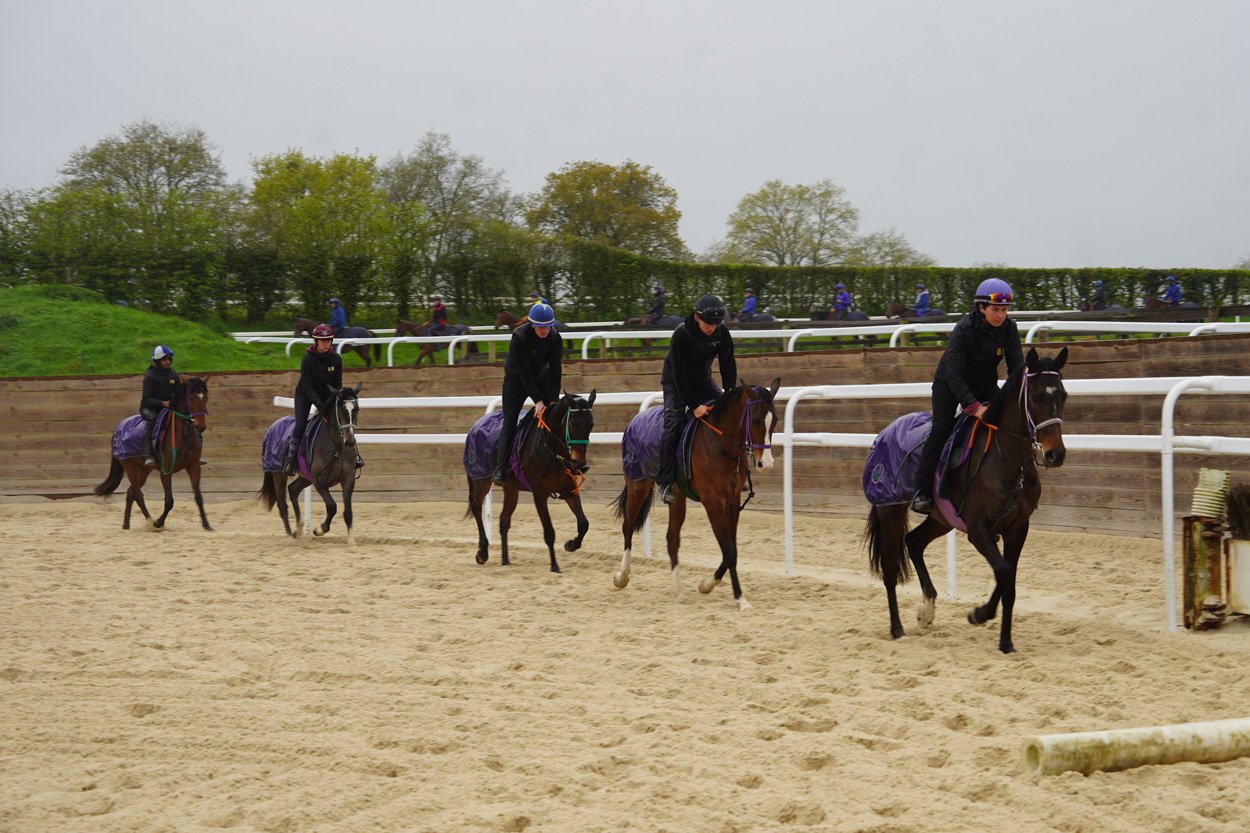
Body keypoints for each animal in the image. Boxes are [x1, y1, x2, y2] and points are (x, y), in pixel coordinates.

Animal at [94, 377, 212, 531]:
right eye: (191, 398)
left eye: (206, 398)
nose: (200, 426)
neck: (183, 436)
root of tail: (119, 428)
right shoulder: (166, 472)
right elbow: (169, 501)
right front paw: (159, 522)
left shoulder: (194, 467)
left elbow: (198, 497)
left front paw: (207, 525)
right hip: (130, 467)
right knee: (137, 494)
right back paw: (151, 522)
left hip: (144, 470)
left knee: (131, 493)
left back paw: (126, 524)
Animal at [257, 383, 363, 542]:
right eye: (340, 409)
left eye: (356, 409)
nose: (350, 441)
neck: (336, 446)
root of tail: (272, 427)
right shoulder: (319, 481)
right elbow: (332, 506)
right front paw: (319, 530)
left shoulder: (348, 479)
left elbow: (348, 511)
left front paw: (351, 541)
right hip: (278, 474)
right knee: (282, 505)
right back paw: (290, 537)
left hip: (306, 477)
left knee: (293, 489)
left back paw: (299, 529)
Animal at [464, 391, 597, 573]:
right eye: (574, 424)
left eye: (591, 425)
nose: (580, 465)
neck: (551, 448)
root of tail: (475, 427)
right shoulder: (539, 494)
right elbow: (549, 531)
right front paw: (554, 566)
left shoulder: (568, 488)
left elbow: (584, 523)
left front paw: (571, 544)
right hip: (480, 480)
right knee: (477, 507)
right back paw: (482, 552)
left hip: (510, 488)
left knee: (504, 520)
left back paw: (505, 560)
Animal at [610, 379, 781, 610]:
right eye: (754, 420)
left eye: (775, 421)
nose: (767, 464)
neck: (720, 444)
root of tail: (634, 422)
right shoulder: (712, 501)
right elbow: (729, 550)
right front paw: (741, 598)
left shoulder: (733, 499)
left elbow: (731, 548)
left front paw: (706, 584)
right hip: (637, 485)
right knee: (628, 526)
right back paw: (622, 576)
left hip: (677, 496)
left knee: (672, 538)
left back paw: (679, 590)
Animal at [862, 347, 1069, 653]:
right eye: (1036, 396)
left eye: (1063, 394)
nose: (1056, 454)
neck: (1007, 461)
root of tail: (885, 433)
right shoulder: (978, 530)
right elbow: (1003, 572)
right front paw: (980, 614)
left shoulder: (1018, 528)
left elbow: (1009, 582)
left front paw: (1006, 643)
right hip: (890, 510)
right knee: (890, 570)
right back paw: (897, 628)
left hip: (941, 519)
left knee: (914, 542)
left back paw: (927, 610)